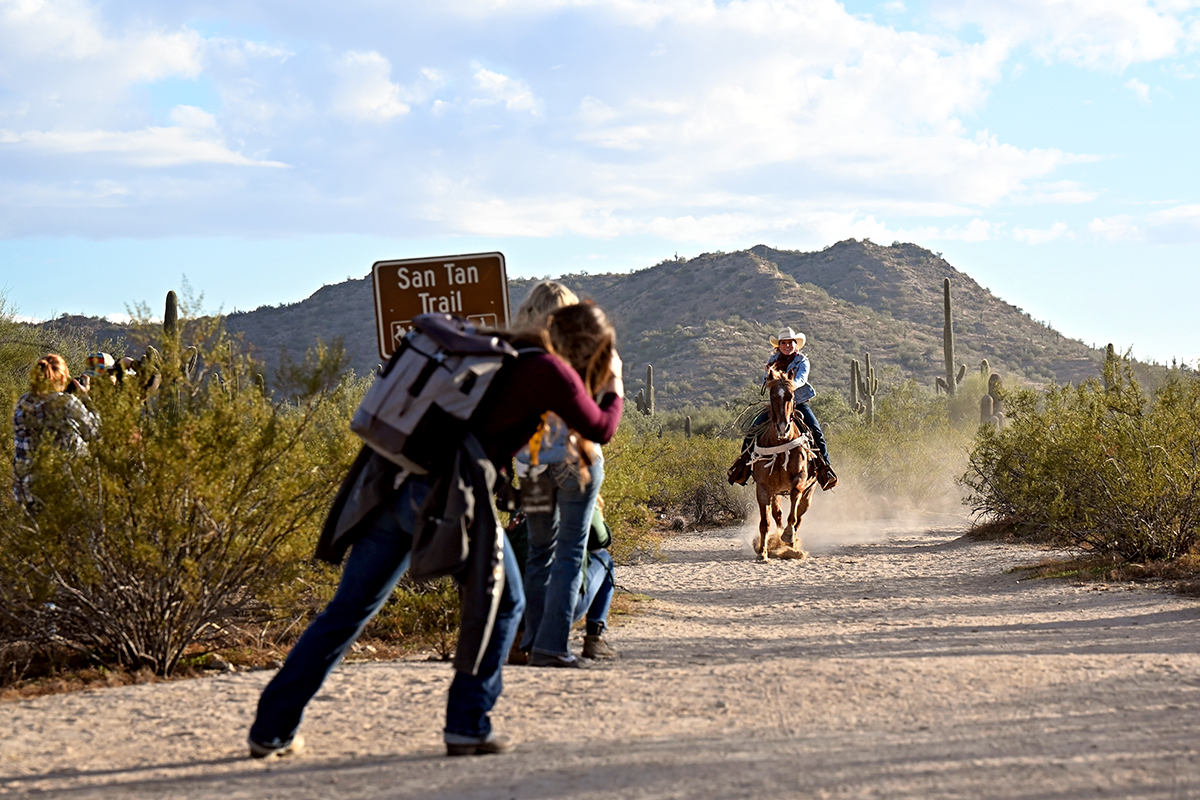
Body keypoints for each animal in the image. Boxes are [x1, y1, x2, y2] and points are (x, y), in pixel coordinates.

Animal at [748, 367, 816, 561]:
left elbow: (793, 511)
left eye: (791, 395)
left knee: (799, 515)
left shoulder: (800, 479)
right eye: (772, 396)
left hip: (809, 491)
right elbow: (765, 522)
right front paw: (763, 552)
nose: (782, 427)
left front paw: (788, 536)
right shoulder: (763, 487)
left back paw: (791, 544)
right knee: (777, 515)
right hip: (775, 492)